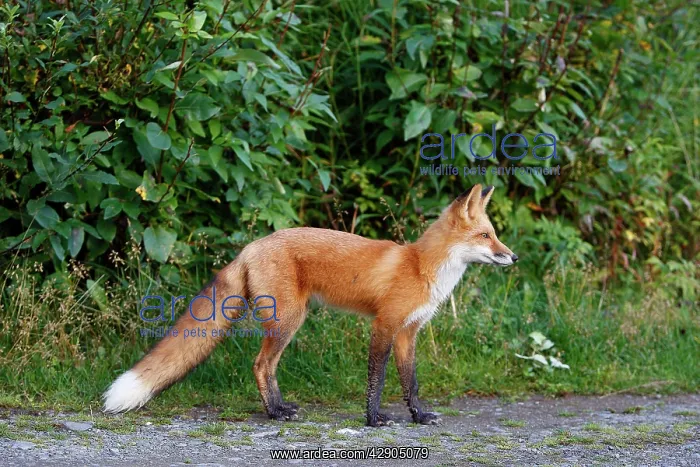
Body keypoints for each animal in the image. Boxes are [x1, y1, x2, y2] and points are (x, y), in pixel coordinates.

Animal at [103, 184, 518, 427]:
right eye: (486, 236)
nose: (513, 257)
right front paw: (373, 419)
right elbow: (378, 379)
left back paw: (279, 408)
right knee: (260, 365)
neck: (420, 266)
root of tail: (250, 247)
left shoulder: (407, 333)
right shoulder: (383, 325)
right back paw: (275, 414)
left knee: (266, 367)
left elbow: (410, 382)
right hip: (290, 319)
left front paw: (418, 415)